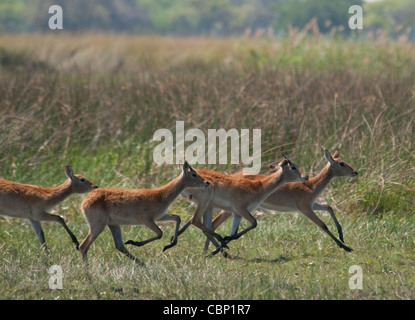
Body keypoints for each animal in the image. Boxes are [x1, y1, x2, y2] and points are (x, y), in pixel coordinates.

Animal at [79, 161, 211, 264]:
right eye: (194, 174)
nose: (207, 183)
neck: (161, 195)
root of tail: (85, 201)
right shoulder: (147, 220)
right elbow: (160, 233)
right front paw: (138, 243)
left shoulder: (160, 216)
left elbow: (177, 218)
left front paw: (170, 244)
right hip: (98, 225)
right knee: (83, 246)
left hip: (113, 224)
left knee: (119, 245)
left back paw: (142, 264)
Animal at [173, 155, 308, 255]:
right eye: (293, 167)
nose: (306, 176)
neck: (258, 187)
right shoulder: (241, 209)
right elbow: (254, 223)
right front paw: (222, 243)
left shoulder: (237, 213)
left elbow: (234, 233)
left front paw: (222, 244)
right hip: (205, 203)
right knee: (196, 221)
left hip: (208, 207)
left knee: (204, 225)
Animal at [208, 150, 358, 252]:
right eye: (341, 163)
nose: (355, 172)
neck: (310, 186)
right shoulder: (305, 209)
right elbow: (323, 225)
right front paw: (345, 247)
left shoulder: (312, 205)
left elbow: (329, 207)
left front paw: (342, 235)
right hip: (231, 209)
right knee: (214, 223)